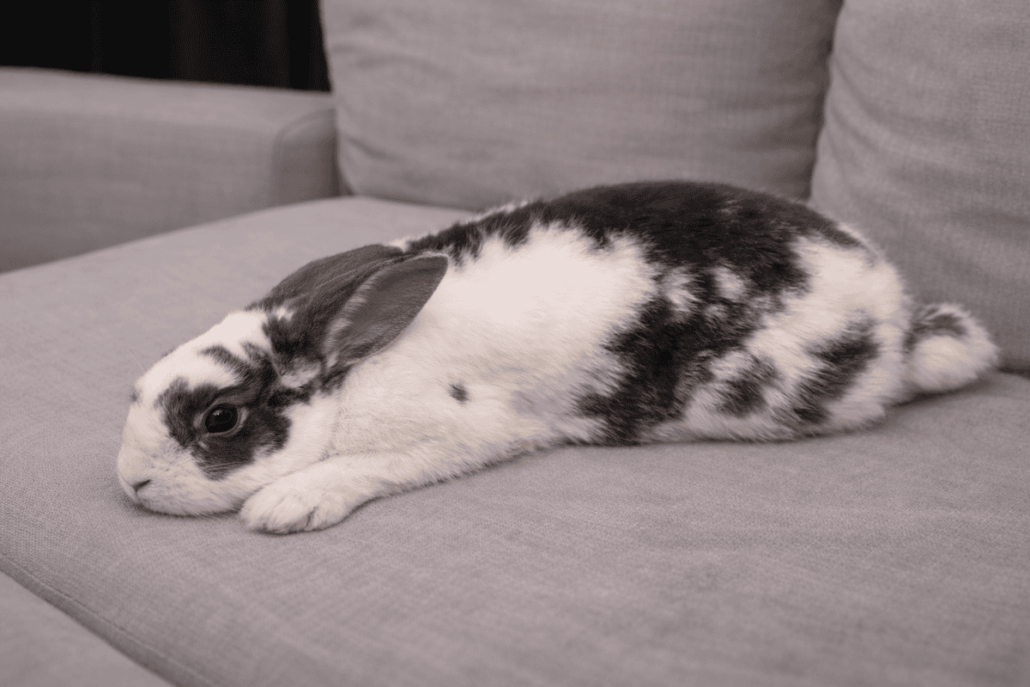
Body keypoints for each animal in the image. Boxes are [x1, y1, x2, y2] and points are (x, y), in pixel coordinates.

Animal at [117, 180, 999, 533]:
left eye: (220, 417)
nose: (131, 484)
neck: (352, 366)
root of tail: (899, 318)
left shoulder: (455, 432)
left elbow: (359, 466)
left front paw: (286, 504)